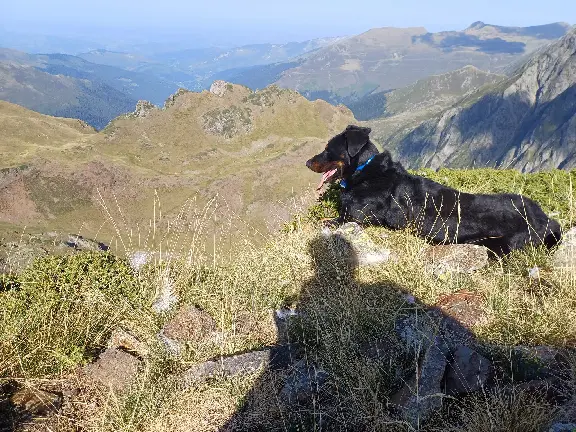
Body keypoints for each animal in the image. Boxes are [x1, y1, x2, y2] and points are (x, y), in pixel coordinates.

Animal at [306, 123, 564, 255]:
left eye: (328, 149)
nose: (307, 163)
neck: (365, 171)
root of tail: (547, 220)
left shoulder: (353, 218)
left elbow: (321, 222)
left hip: (502, 245)